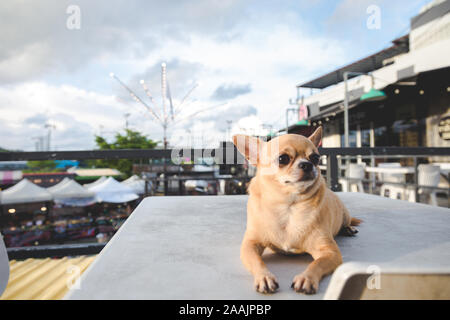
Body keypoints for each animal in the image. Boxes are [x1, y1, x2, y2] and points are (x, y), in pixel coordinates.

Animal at [234, 127, 360, 296]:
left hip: (344, 213)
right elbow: (257, 261)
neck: (289, 206)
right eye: (283, 159)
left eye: (315, 157)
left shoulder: (330, 252)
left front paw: (306, 278)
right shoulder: (250, 245)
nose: (307, 164)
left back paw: (348, 228)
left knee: (347, 221)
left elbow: (317, 263)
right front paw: (264, 277)